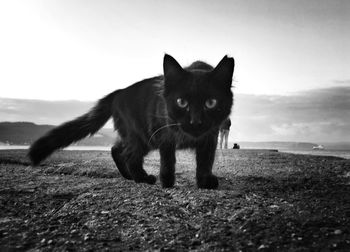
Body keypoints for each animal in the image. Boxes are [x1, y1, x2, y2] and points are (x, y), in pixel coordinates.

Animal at [28, 55, 234, 189]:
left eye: (211, 103)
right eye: (181, 102)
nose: (196, 121)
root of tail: (118, 92)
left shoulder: (210, 135)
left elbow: (206, 160)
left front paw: (204, 182)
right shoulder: (164, 134)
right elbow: (168, 160)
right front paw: (167, 182)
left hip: (138, 137)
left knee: (117, 149)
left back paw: (128, 176)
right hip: (141, 135)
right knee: (129, 156)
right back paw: (143, 178)